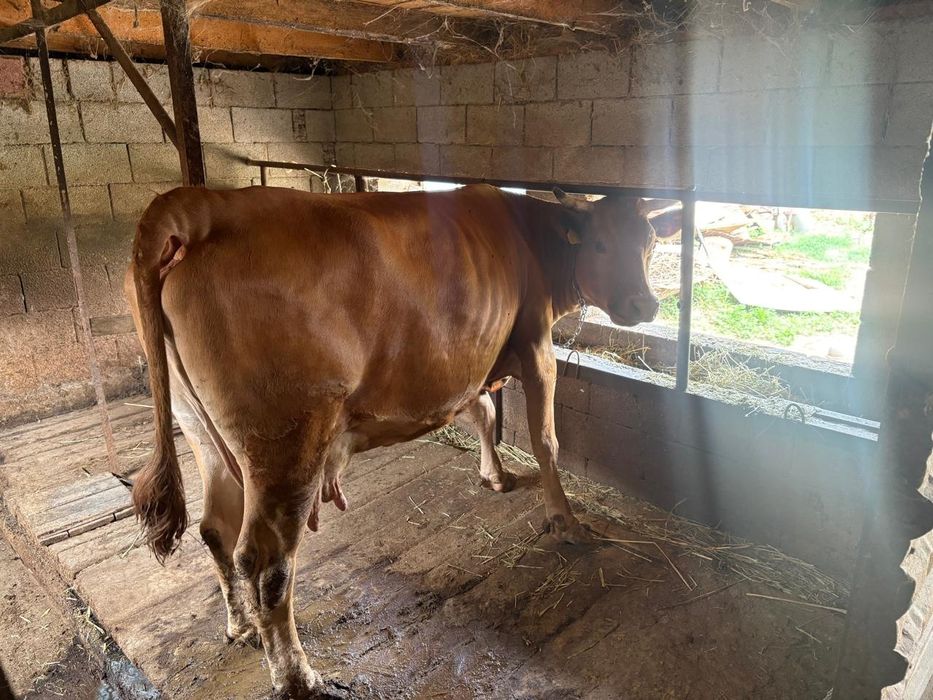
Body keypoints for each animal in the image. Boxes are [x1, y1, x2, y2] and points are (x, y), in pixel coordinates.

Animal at [125, 183, 682, 698]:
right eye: (601, 244)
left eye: (651, 242)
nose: (645, 303)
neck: (530, 237)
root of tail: (194, 204)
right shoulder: (535, 341)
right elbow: (546, 440)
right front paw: (566, 522)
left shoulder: (465, 360)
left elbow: (482, 412)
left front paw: (494, 474)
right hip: (284, 445)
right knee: (266, 563)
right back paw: (297, 676)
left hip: (200, 429)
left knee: (215, 527)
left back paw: (240, 627)